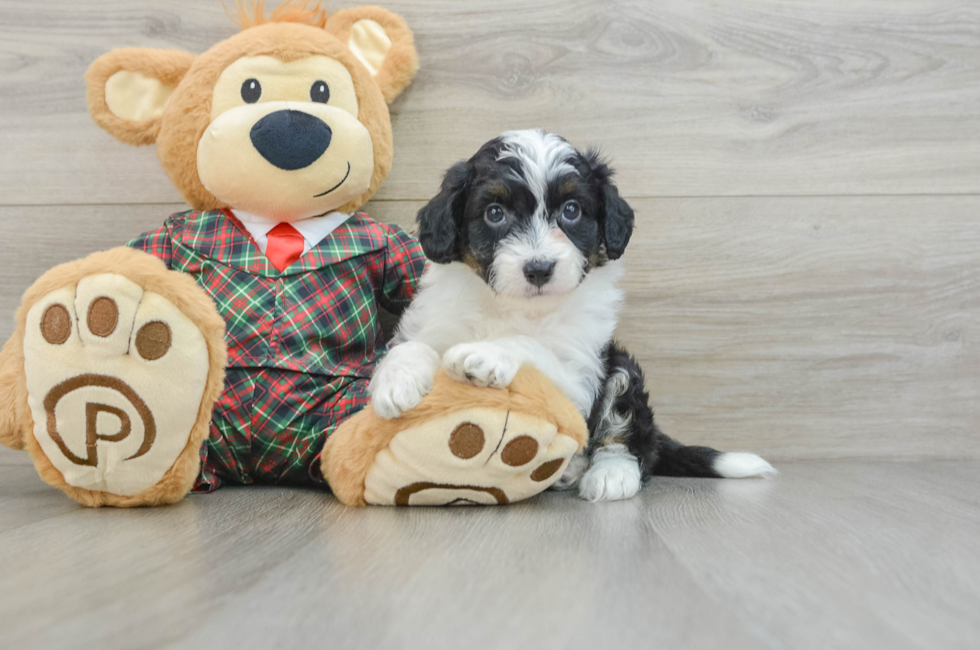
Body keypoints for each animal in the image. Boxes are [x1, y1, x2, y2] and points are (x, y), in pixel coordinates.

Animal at [368, 129, 772, 498]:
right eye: (495, 213)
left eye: (571, 210)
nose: (539, 268)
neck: (517, 308)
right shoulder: (436, 320)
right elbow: (412, 345)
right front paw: (395, 382)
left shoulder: (580, 380)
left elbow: (529, 346)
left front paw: (488, 353)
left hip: (621, 368)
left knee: (631, 437)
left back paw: (608, 474)